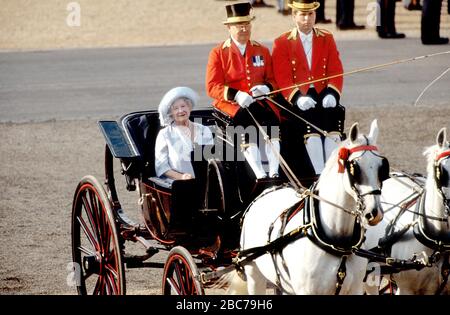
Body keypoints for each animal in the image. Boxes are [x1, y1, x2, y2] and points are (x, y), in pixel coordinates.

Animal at [229, 119, 386, 296]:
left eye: (382, 167)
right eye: (354, 168)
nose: (375, 213)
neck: (337, 241)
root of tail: (268, 189)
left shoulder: (355, 290)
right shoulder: (306, 291)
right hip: (254, 275)